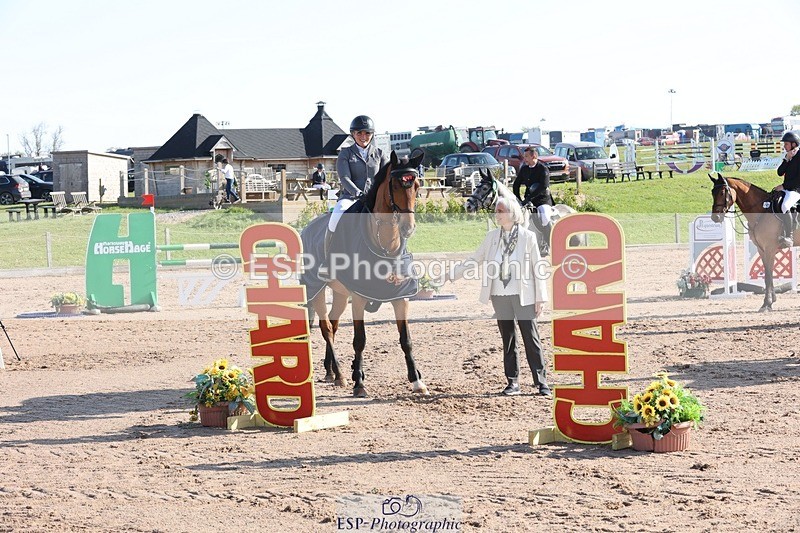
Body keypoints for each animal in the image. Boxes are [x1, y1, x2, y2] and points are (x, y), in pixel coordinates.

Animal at [300, 151, 428, 398]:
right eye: (395, 185)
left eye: (417, 185)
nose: (408, 228)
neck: (385, 246)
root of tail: (307, 228)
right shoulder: (359, 297)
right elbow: (359, 340)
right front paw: (359, 383)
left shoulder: (401, 297)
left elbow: (406, 340)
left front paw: (417, 381)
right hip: (316, 288)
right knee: (326, 328)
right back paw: (340, 375)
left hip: (340, 294)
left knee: (334, 324)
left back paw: (331, 372)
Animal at [709, 173, 798, 311]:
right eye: (712, 192)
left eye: (723, 192)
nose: (715, 217)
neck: (761, 210)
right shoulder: (761, 249)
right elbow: (768, 275)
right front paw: (770, 302)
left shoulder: (770, 248)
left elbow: (768, 275)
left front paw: (767, 303)